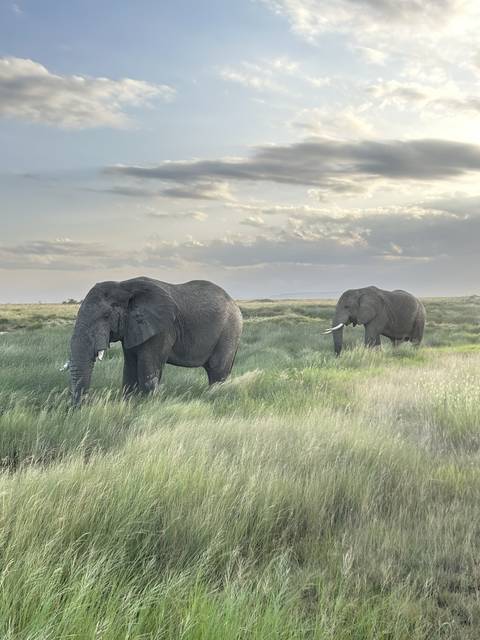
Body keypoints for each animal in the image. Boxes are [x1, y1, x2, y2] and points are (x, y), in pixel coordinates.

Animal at [67, 277, 243, 405]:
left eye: (106, 316)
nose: (82, 406)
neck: (124, 286)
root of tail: (235, 304)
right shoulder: (132, 328)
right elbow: (129, 368)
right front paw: (129, 404)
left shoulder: (162, 329)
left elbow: (147, 370)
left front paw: (147, 406)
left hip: (229, 331)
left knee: (217, 371)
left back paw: (216, 397)